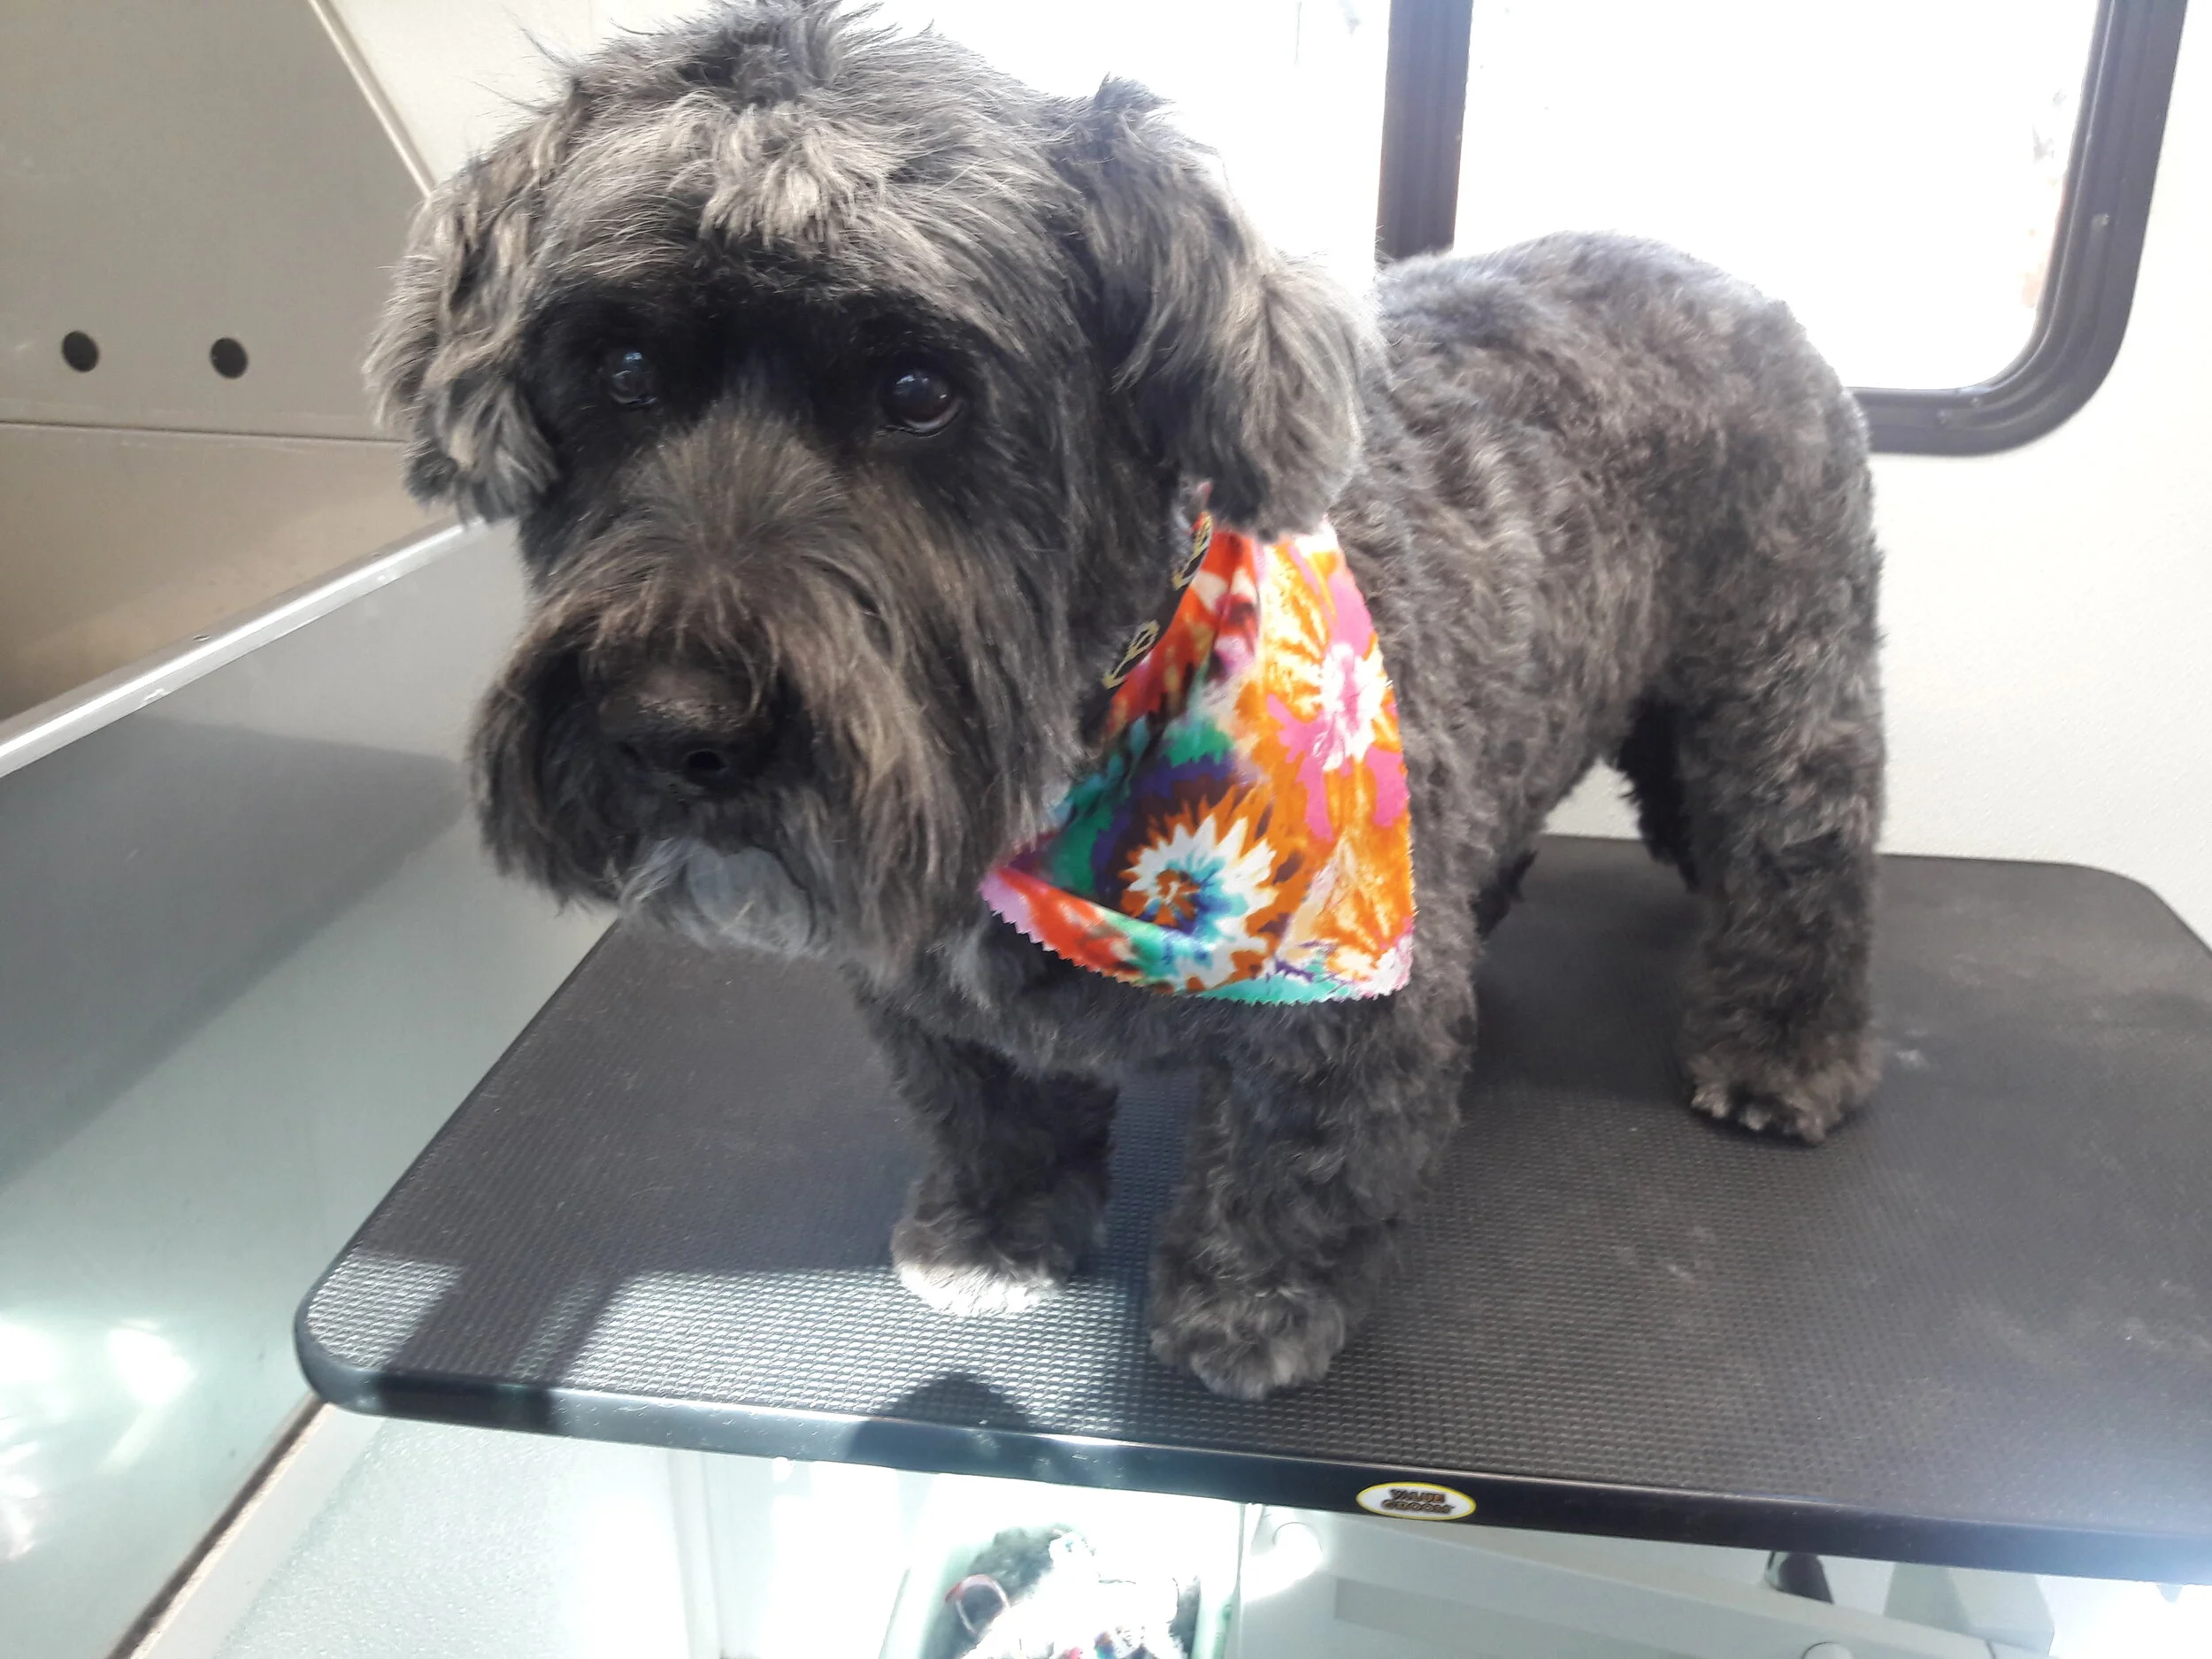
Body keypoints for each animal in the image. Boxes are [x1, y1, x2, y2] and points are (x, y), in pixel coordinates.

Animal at [367, 0, 1883, 1400]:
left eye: (919, 390)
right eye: (622, 373)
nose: (671, 723)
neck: (1070, 754)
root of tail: (1728, 281)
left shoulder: (1348, 1008)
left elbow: (1296, 1166)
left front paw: (1250, 1312)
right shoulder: (929, 992)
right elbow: (990, 1102)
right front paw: (996, 1230)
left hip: (1785, 699)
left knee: (1799, 871)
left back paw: (1780, 1052)